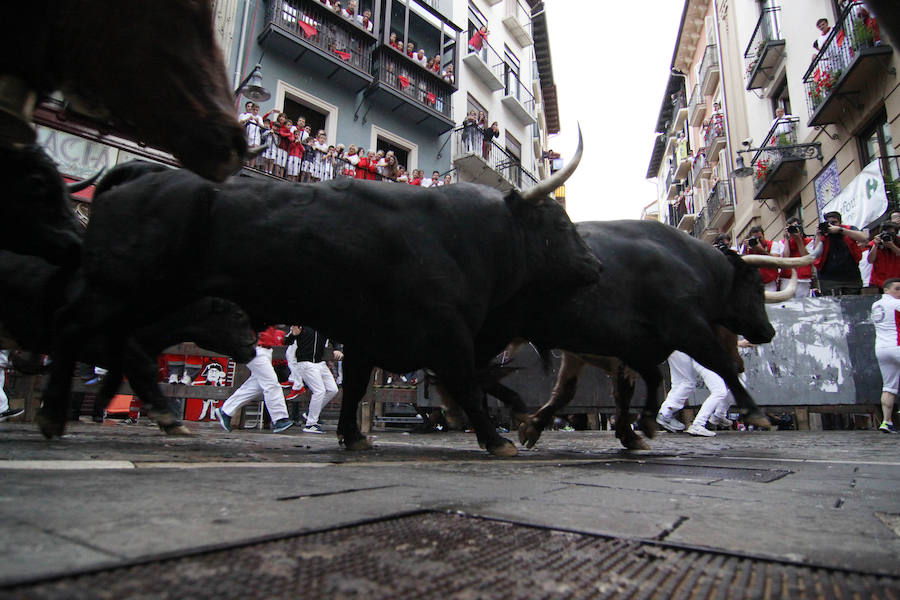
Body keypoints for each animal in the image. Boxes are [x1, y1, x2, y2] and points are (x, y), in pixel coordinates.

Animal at [37, 150, 604, 454]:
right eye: (559, 225)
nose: (596, 266)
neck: (468, 235)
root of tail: (144, 171)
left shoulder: (369, 338)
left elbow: (352, 389)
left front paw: (353, 436)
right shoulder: (448, 337)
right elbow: (468, 386)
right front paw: (498, 439)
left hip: (150, 299)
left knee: (117, 343)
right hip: (124, 289)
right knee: (71, 327)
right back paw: (54, 418)